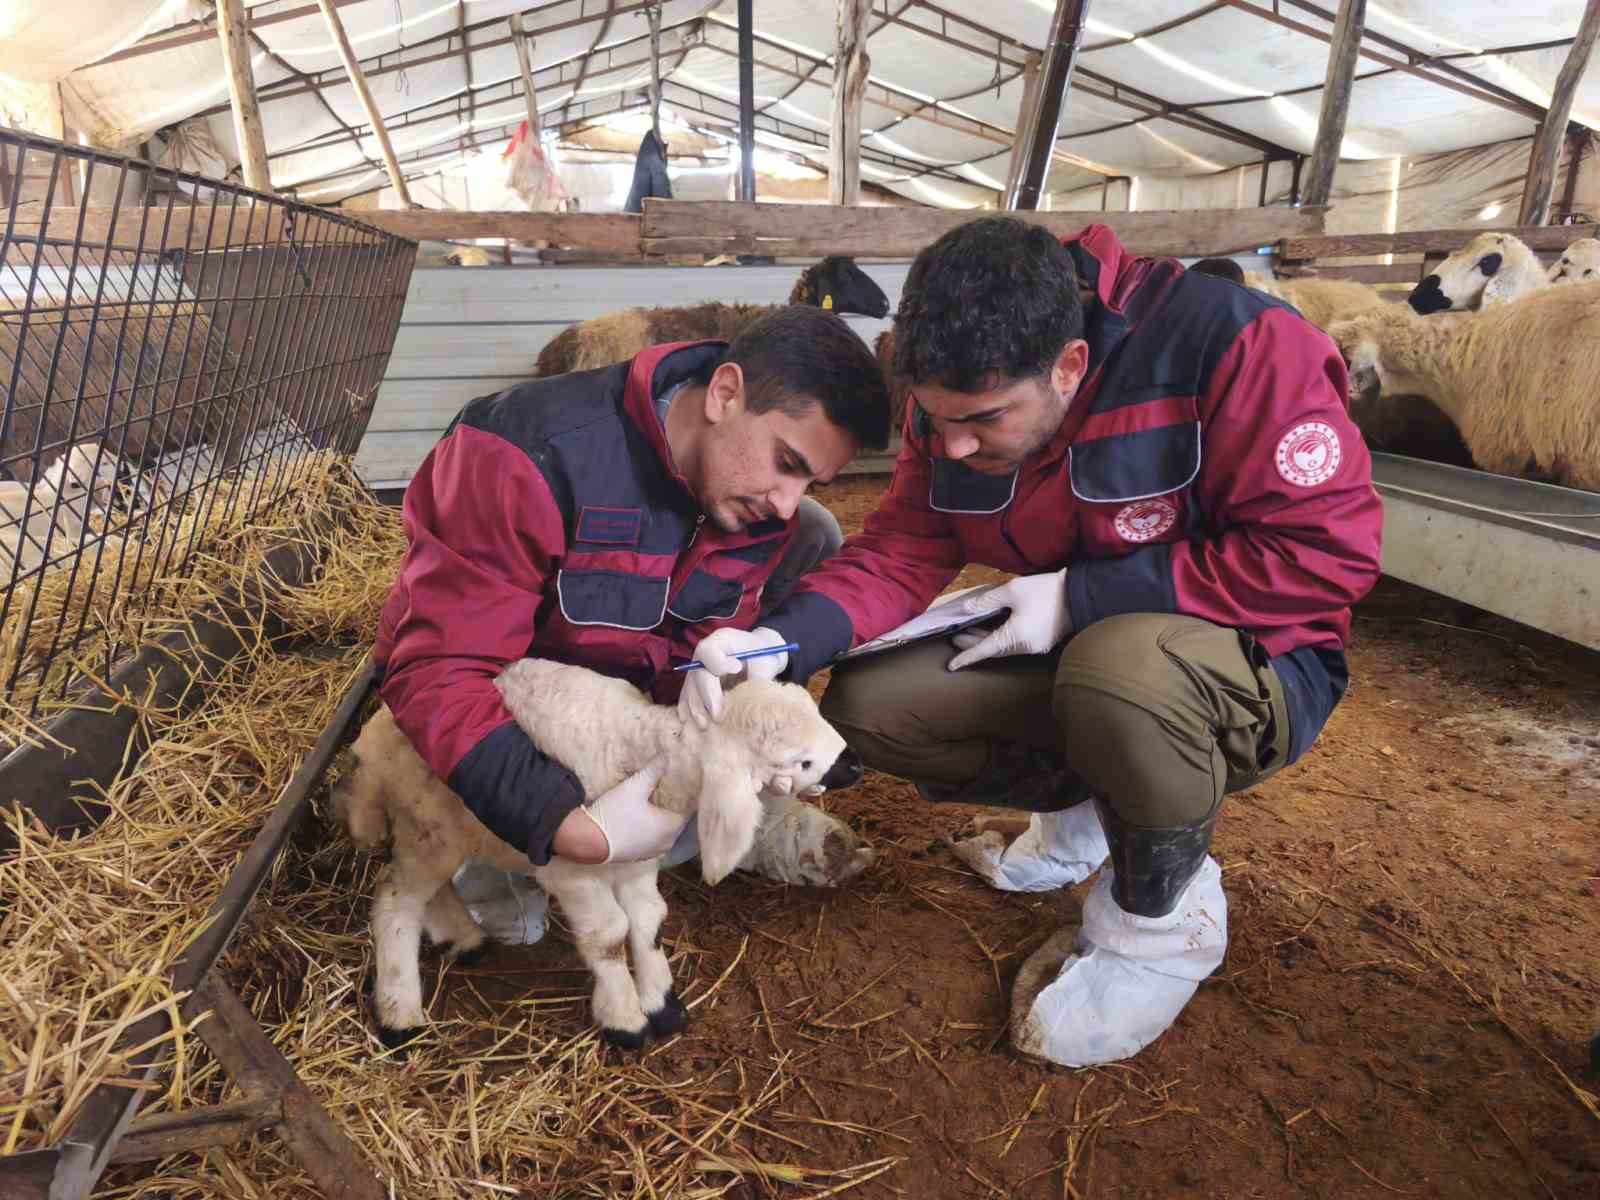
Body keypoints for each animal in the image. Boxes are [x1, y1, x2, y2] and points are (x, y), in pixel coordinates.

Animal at [337, 659, 864, 1049]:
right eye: (802, 761)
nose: (854, 764)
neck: (651, 753)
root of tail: (370, 745)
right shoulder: (575, 872)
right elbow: (609, 936)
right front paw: (625, 1018)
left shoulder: (636, 859)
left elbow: (650, 921)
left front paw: (660, 1001)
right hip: (428, 824)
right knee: (395, 899)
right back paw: (400, 1013)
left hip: (441, 831)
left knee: (431, 889)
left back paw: (462, 938)